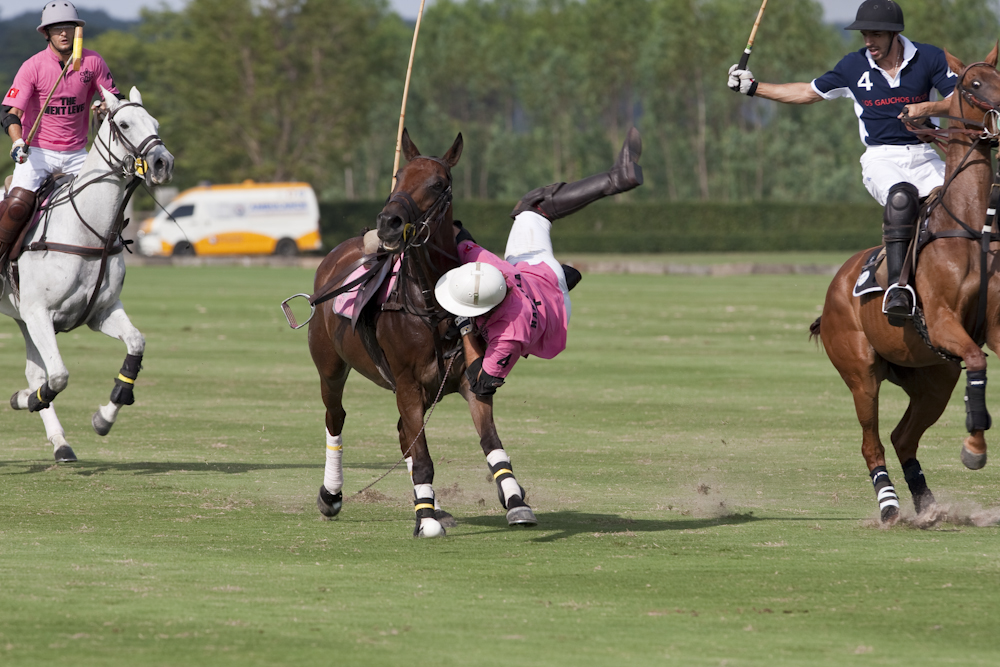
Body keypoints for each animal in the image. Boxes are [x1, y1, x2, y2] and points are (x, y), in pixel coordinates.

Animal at [0, 86, 174, 462]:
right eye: (124, 124)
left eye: (155, 123)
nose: (163, 163)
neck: (87, 231)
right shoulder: (39, 312)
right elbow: (58, 376)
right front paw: (27, 399)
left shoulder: (99, 311)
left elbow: (135, 343)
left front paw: (104, 417)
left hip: (22, 319)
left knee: (34, 370)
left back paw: (61, 445)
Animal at [303, 130, 536, 537]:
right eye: (398, 177)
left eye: (438, 183)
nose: (388, 223)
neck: (432, 303)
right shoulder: (408, 383)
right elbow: (423, 454)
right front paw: (425, 519)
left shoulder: (470, 380)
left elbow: (490, 441)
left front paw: (514, 499)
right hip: (331, 367)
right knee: (337, 417)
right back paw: (332, 495)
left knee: (404, 434)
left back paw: (433, 504)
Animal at [811, 46, 1000, 524]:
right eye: (974, 84)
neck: (969, 227)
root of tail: (834, 289)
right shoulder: (943, 321)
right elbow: (977, 359)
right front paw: (974, 448)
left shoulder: (994, 326)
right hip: (861, 373)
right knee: (872, 442)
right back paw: (890, 506)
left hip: (932, 377)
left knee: (903, 437)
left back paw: (928, 504)